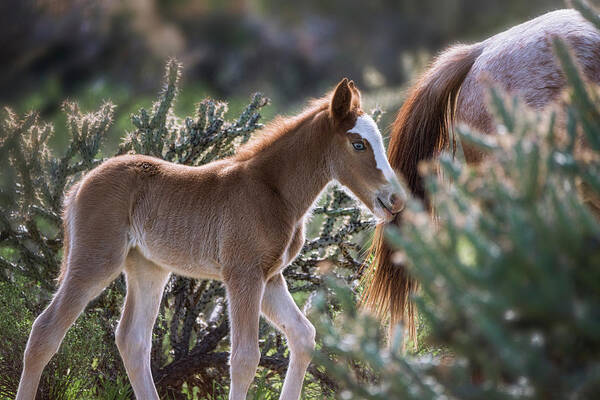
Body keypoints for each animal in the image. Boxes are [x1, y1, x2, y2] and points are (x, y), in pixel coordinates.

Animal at [16, 79, 406, 400]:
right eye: (358, 144)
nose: (396, 199)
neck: (273, 190)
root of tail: (80, 184)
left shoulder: (270, 277)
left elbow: (303, 336)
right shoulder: (242, 275)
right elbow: (245, 357)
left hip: (148, 268)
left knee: (132, 340)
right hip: (95, 260)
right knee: (45, 331)